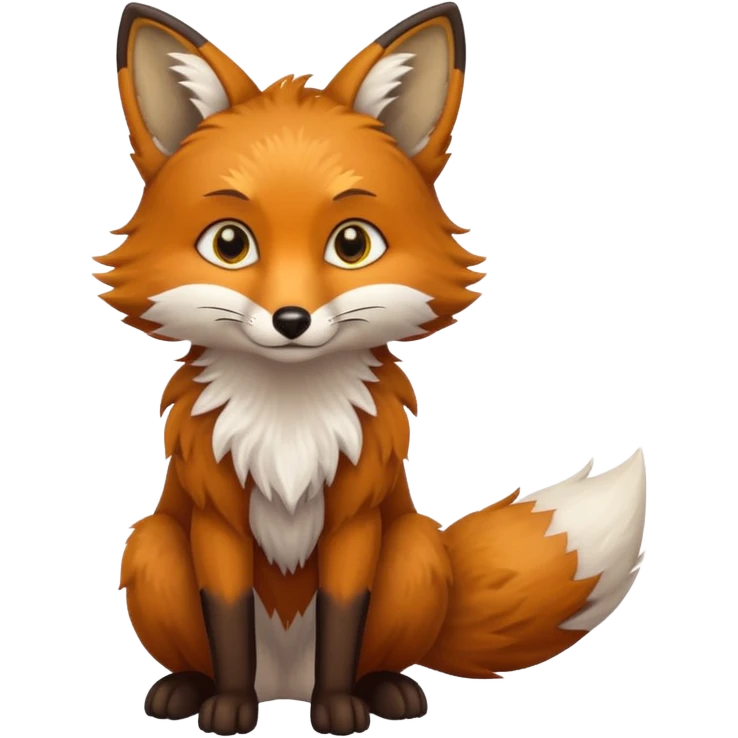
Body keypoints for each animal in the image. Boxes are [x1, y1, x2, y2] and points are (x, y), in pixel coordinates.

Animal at [100, 2, 648, 736]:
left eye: (352, 244)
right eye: (230, 244)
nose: (292, 319)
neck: (289, 419)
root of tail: (285, 687)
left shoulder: (356, 520)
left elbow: (342, 616)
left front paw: (338, 709)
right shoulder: (218, 520)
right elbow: (229, 624)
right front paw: (230, 708)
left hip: (414, 552)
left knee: (379, 653)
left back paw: (386, 690)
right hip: (153, 547)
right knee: (198, 643)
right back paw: (186, 689)